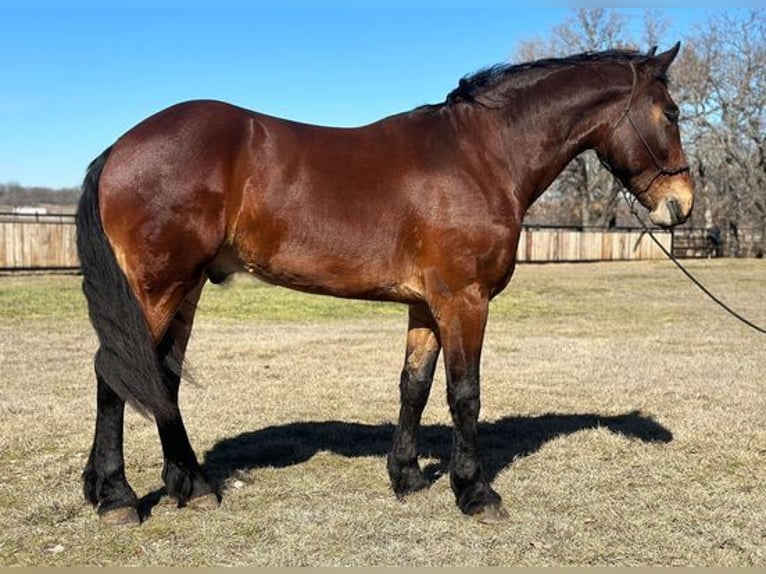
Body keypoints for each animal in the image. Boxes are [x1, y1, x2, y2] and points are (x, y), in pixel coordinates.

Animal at [76, 45, 696, 528]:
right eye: (671, 112)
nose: (681, 204)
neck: (481, 156)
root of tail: (119, 148)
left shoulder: (426, 305)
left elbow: (413, 387)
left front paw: (408, 478)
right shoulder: (464, 300)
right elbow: (464, 394)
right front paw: (475, 492)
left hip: (186, 288)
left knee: (162, 378)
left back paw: (192, 487)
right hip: (158, 288)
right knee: (114, 374)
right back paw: (118, 497)